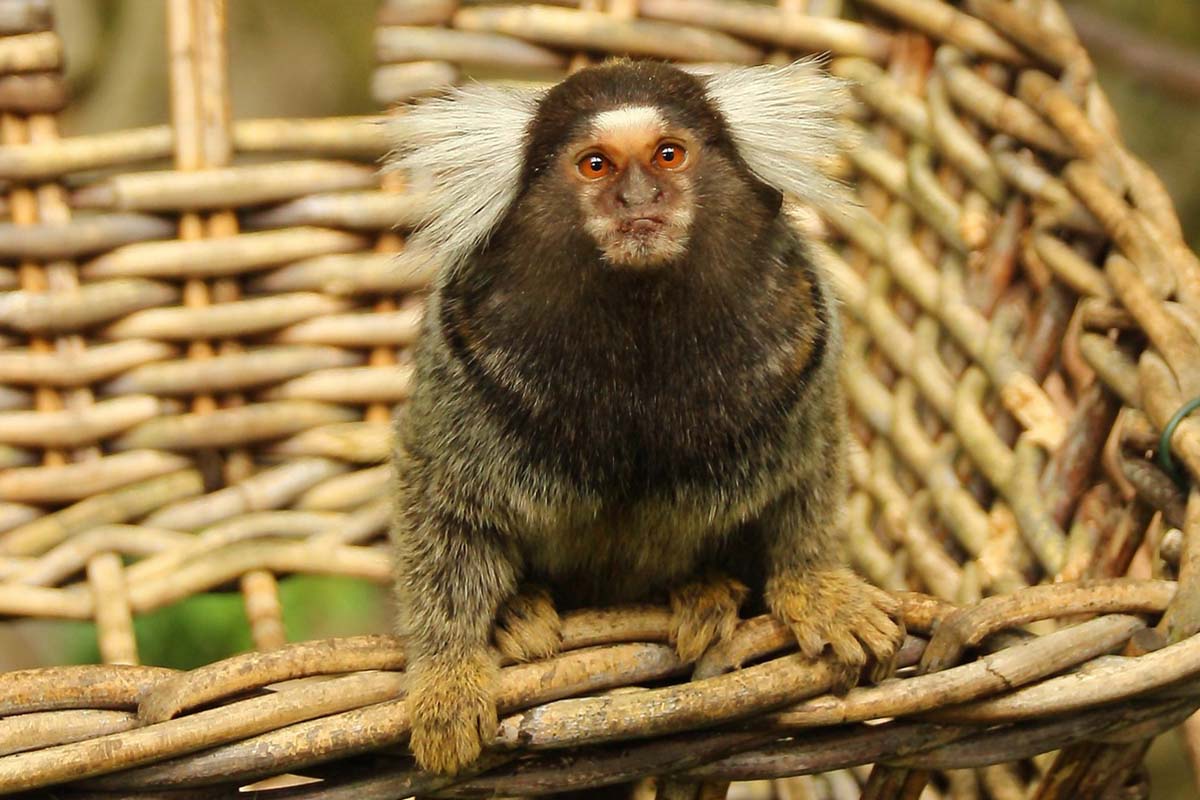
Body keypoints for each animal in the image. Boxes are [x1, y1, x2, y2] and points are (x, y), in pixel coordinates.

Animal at [388, 57, 902, 777]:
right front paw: (448, 672)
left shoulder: (802, 353)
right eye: (596, 165)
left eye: (668, 155)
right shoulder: (463, 375)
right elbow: (444, 510)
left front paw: (816, 582)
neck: (639, 320)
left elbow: (808, 477)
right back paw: (520, 613)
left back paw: (704, 592)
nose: (638, 201)